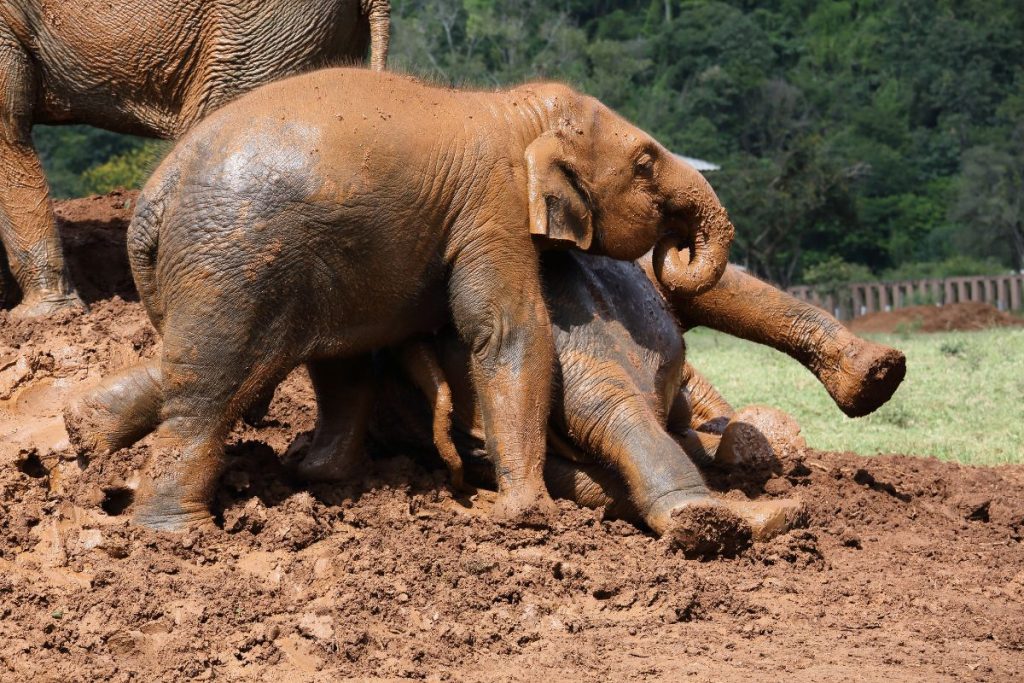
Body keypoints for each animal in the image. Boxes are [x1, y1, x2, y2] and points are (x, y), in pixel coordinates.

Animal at [63, 67, 737, 531]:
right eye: (646, 162)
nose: (673, 251)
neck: (512, 111)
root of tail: (154, 198)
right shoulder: (493, 205)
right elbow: (506, 328)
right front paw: (523, 516)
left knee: (276, 358)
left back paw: (91, 432)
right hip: (232, 260)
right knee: (216, 383)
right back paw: (174, 534)